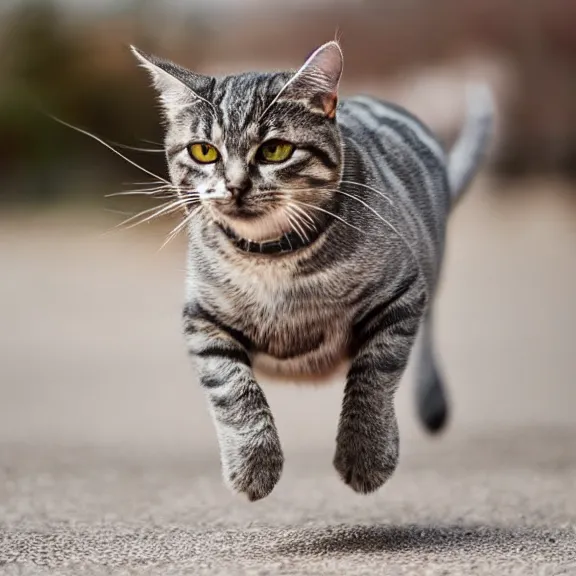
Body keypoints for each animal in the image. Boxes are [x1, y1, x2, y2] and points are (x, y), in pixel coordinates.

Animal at [132, 41, 496, 500]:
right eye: (204, 151)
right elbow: (232, 388)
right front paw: (254, 464)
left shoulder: (402, 295)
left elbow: (373, 377)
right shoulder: (201, 320)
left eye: (273, 150)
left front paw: (365, 454)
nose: (234, 186)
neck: (272, 259)